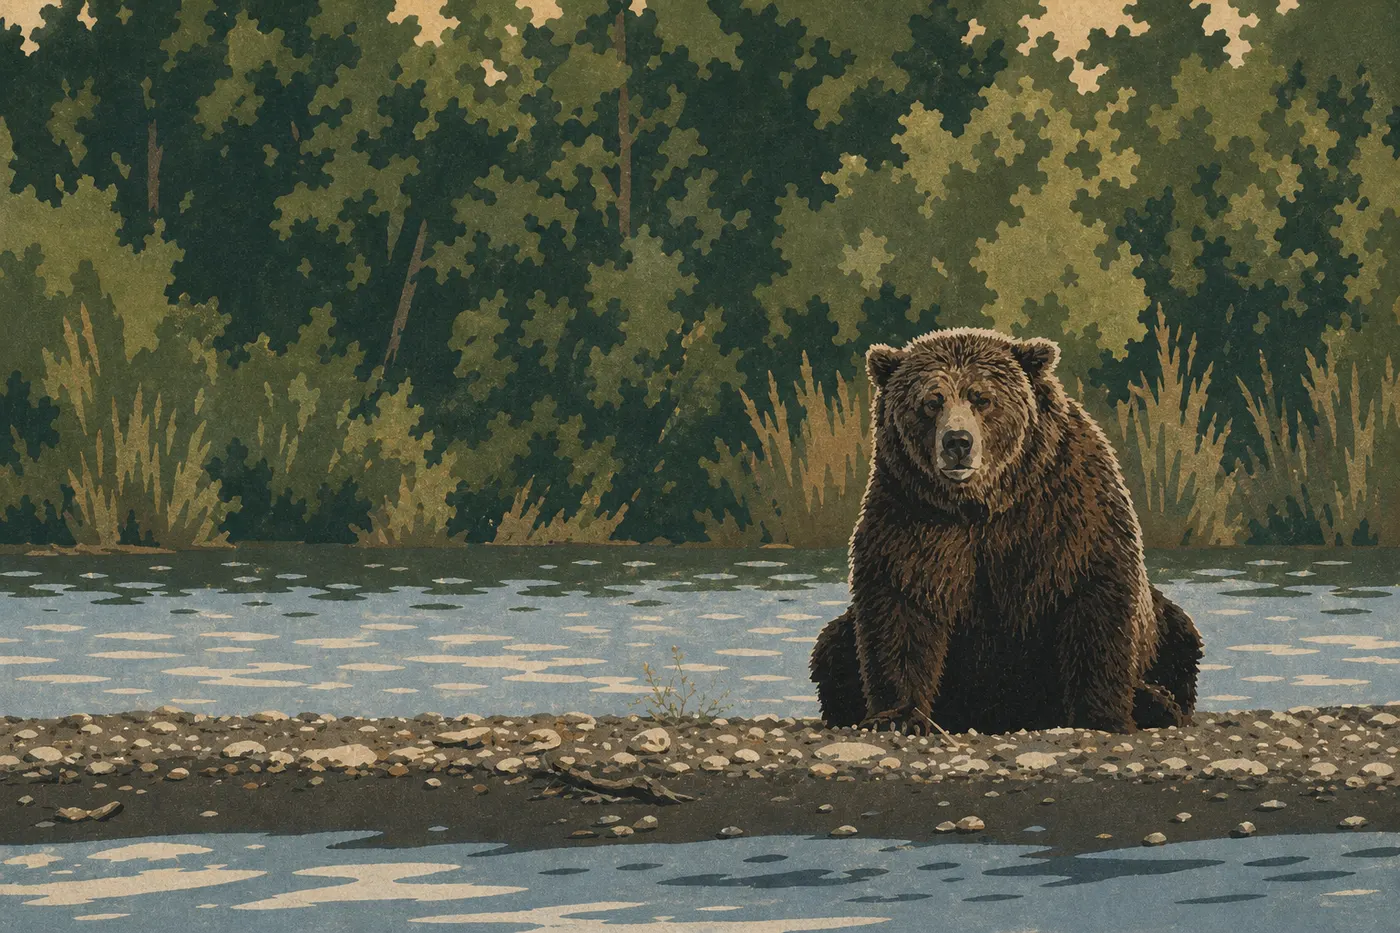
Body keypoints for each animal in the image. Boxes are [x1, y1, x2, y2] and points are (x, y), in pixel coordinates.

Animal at [808, 328, 1202, 736]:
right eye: (931, 401)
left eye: (982, 398)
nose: (957, 442)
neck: (981, 503)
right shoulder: (913, 517)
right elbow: (901, 606)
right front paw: (898, 716)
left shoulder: (1064, 511)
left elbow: (1095, 601)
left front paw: (1103, 716)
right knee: (830, 647)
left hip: (1165, 627)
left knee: (1182, 638)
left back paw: (1157, 702)